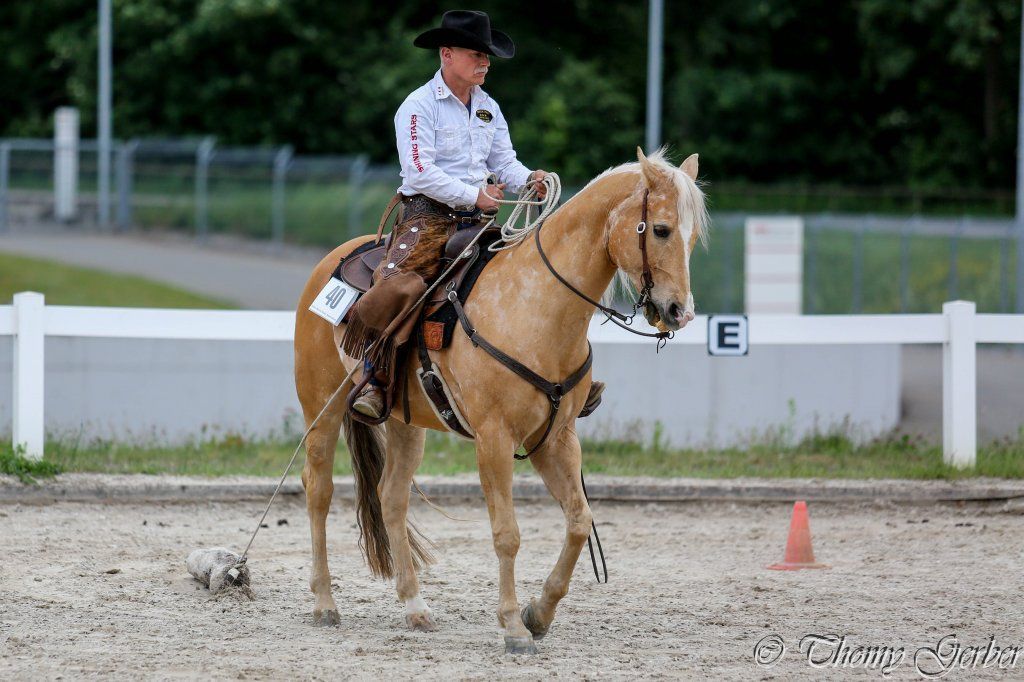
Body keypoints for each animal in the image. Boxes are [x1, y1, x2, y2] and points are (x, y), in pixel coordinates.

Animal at [293, 147, 708, 654]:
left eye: (693, 235)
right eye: (662, 229)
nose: (680, 312)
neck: (535, 306)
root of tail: (333, 260)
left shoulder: (556, 438)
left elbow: (579, 521)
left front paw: (538, 614)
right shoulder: (494, 439)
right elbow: (507, 534)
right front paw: (512, 626)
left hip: (405, 422)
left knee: (391, 497)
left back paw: (415, 607)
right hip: (321, 407)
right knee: (319, 489)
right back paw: (325, 603)